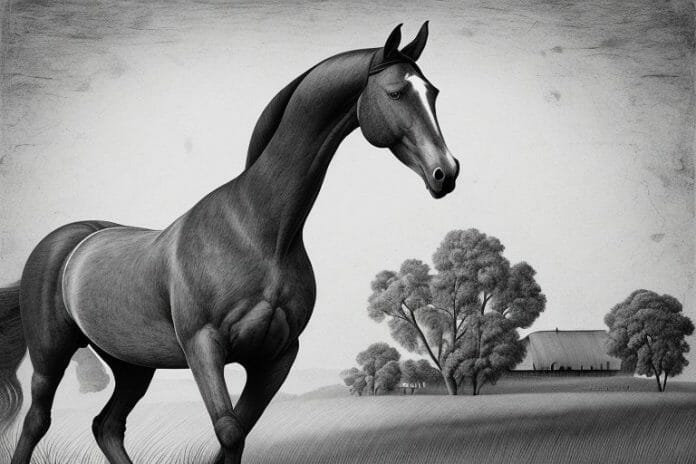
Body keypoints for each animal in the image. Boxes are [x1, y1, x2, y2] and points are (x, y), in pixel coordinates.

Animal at [0, 22, 459, 464]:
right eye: (396, 92)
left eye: (433, 92)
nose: (446, 172)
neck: (258, 231)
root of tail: (67, 241)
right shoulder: (204, 346)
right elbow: (230, 431)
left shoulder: (277, 357)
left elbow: (237, 434)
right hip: (50, 356)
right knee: (38, 421)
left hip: (133, 365)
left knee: (106, 426)